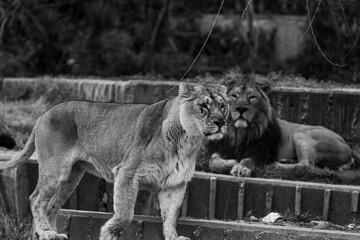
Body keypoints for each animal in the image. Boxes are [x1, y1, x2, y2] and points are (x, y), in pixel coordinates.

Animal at [0, 83, 228, 240]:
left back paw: (51, 234)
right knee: (36, 198)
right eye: (203, 106)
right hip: (55, 169)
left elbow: (171, 215)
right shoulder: (127, 172)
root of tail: (42, 115)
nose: (220, 122)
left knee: (51, 206)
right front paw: (108, 233)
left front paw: (173, 237)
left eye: (223, 106)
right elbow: (126, 213)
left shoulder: (175, 183)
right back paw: (46, 232)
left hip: (72, 176)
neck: (188, 140)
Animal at [207, 72, 358, 177]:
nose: (241, 108)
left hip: (301, 134)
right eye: (234, 96)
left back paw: (277, 166)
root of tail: (349, 147)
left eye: (252, 97)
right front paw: (231, 163)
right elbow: (212, 161)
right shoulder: (219, 149)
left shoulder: (261, 154)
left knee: (307, 165)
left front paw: (240, 167)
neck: (239, 132)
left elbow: (247, 160)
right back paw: (287, 161)